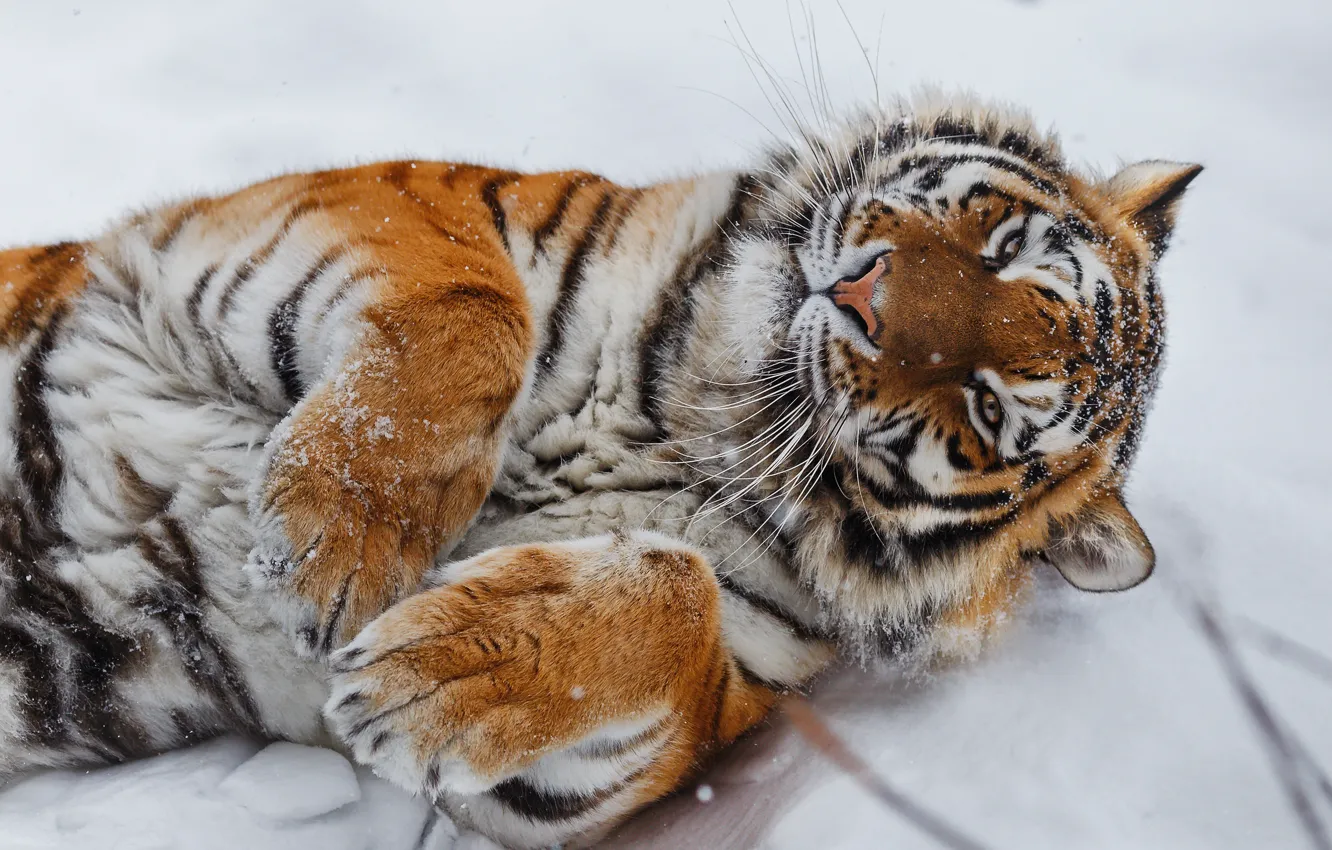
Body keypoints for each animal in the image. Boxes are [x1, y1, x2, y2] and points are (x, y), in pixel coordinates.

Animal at [0, 90, 1199, 847]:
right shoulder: (365, 210)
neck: (693, 408)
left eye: (988, 407)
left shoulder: (657, 736)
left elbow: (682, 599)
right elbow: (477, 312)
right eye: (1002, 247)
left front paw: (431, 670)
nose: (862, 299)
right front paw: (330, 546)